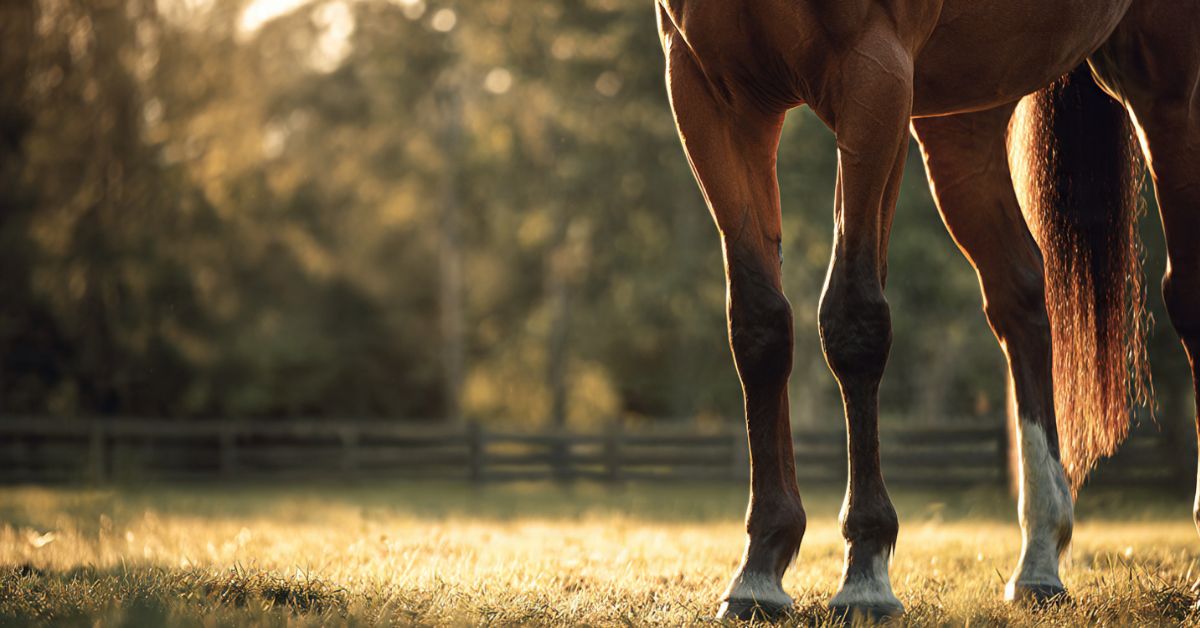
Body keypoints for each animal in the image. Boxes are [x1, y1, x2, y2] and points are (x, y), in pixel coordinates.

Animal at [655, 0, 1200, 620]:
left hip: (1166, 88)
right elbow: (759, 325)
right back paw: (1039, 561)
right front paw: (759, 570)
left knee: (1186, 294)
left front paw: (866, 572)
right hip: (964, 121)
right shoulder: (709, 93)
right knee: (1020, 296)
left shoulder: (875, 77)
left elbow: (854, 318)